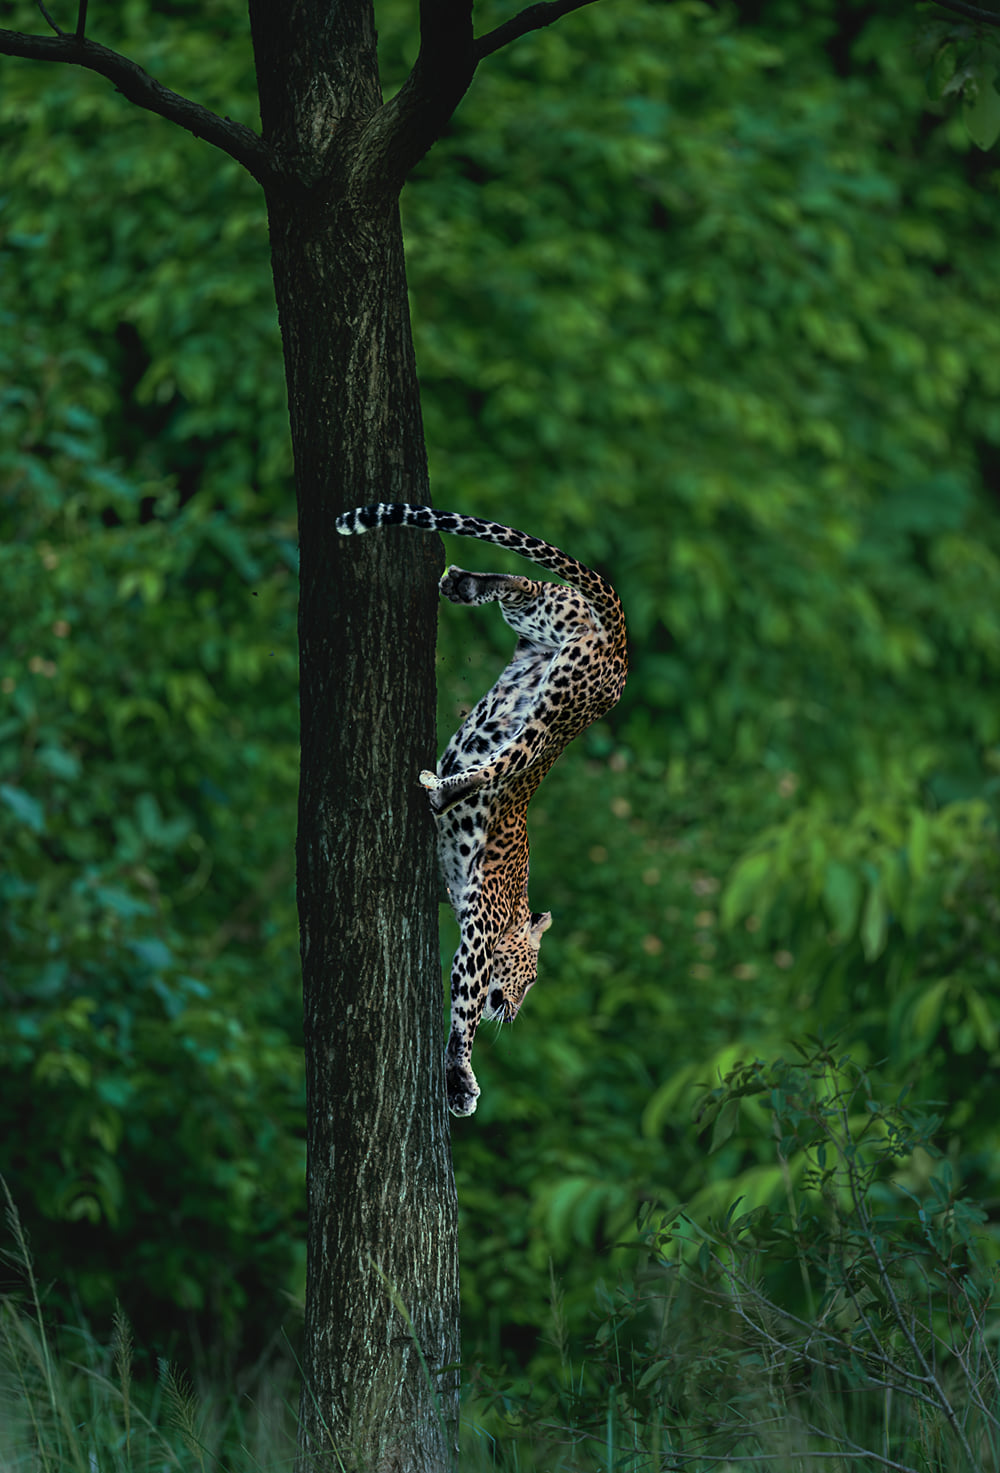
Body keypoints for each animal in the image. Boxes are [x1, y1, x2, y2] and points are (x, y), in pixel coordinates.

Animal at [336, 502, 628, 1117]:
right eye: (532, 978)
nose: (514, 1012)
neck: (515, 911)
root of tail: (619, 644)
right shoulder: (476, 935)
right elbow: (465, 1012)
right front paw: (460, 1080)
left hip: (545, 630)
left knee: (525, 585)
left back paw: (464, 583)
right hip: (562, 704)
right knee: (511, 757)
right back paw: (444, 788)